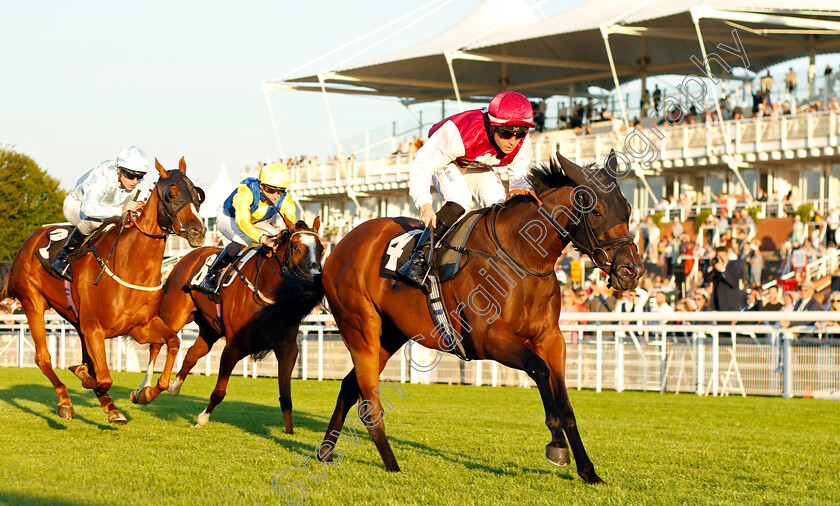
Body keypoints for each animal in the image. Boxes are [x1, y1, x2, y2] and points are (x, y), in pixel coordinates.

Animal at [0, 158, 205, 422]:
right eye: (171, 194)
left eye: (197, 194)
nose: (198, 231)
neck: (130, 266)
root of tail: (30, 239)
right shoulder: (94, 329)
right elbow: (102, 378)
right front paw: (83, 375)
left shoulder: (140, 327)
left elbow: (173, 343)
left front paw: (143, 393)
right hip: (32, 302)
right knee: (43, 357)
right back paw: (66, 401)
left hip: (74, 318)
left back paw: (110, 406)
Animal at [145, 214, 324, 430]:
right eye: (296, 247)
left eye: (322, 249)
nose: (315, 280)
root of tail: (189, 256)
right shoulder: (234, 346)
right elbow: (219, 392)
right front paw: (202, 418)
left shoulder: (287, 348)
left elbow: (286, 398)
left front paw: (289, 432)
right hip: (173, 316)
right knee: (157, 344)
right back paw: (144, 392)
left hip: (210, 328)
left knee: (192, 354)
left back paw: (173, 386)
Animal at [318, 152, 648, 484]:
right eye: (596, 211)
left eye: (629, 209)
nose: (631, 271)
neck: (521, 256)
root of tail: (340, 244)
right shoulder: (488, 339)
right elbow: (539, 370)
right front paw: (556, 445)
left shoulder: (552, 339)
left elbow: (566, 405)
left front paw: (588, 471)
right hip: (361, 329)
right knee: (369, 404)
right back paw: (391, 465)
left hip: (390, 335)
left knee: (349, 387)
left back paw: (325, 452)